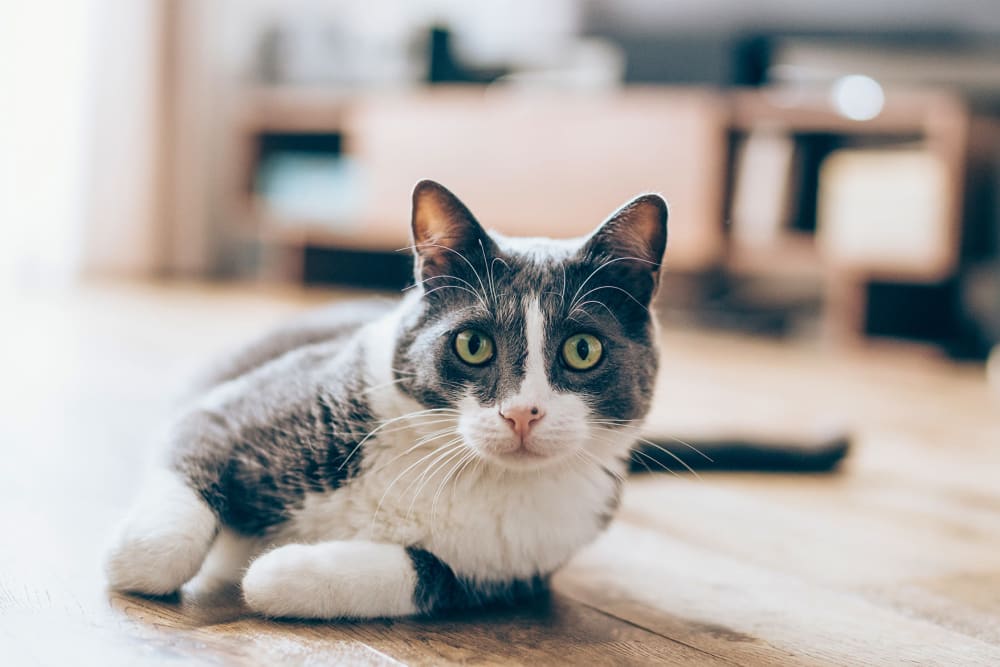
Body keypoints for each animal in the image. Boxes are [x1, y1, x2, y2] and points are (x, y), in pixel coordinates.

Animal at [101, 179, 844, 620]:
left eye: (582, 350)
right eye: (474, 344)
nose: (522, 412)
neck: (463, 469)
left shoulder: (520, 565)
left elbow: (426, 573)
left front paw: (282, 571)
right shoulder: (233, 410)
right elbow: (175, 495)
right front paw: (131, 557)